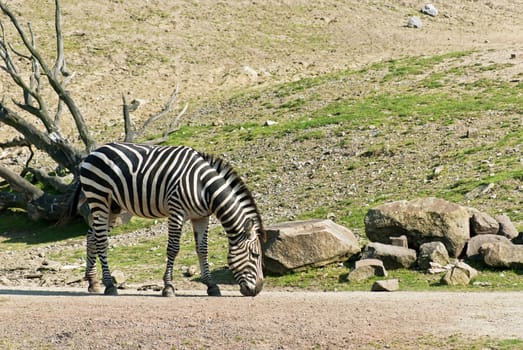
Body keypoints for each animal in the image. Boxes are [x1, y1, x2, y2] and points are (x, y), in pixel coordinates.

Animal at [71, 141, 264, 296]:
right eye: (255, 255)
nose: (258, 290)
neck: (204, 187)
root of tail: (93, 153)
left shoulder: (201, 217)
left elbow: (202, 249)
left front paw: (211, 286)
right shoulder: (176, 211)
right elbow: (173, 249)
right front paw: (168, 287)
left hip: (113, 206)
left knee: (92, 236)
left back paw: (93, 283)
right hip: (99, 198)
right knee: (101, 240)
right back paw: (109, 285)